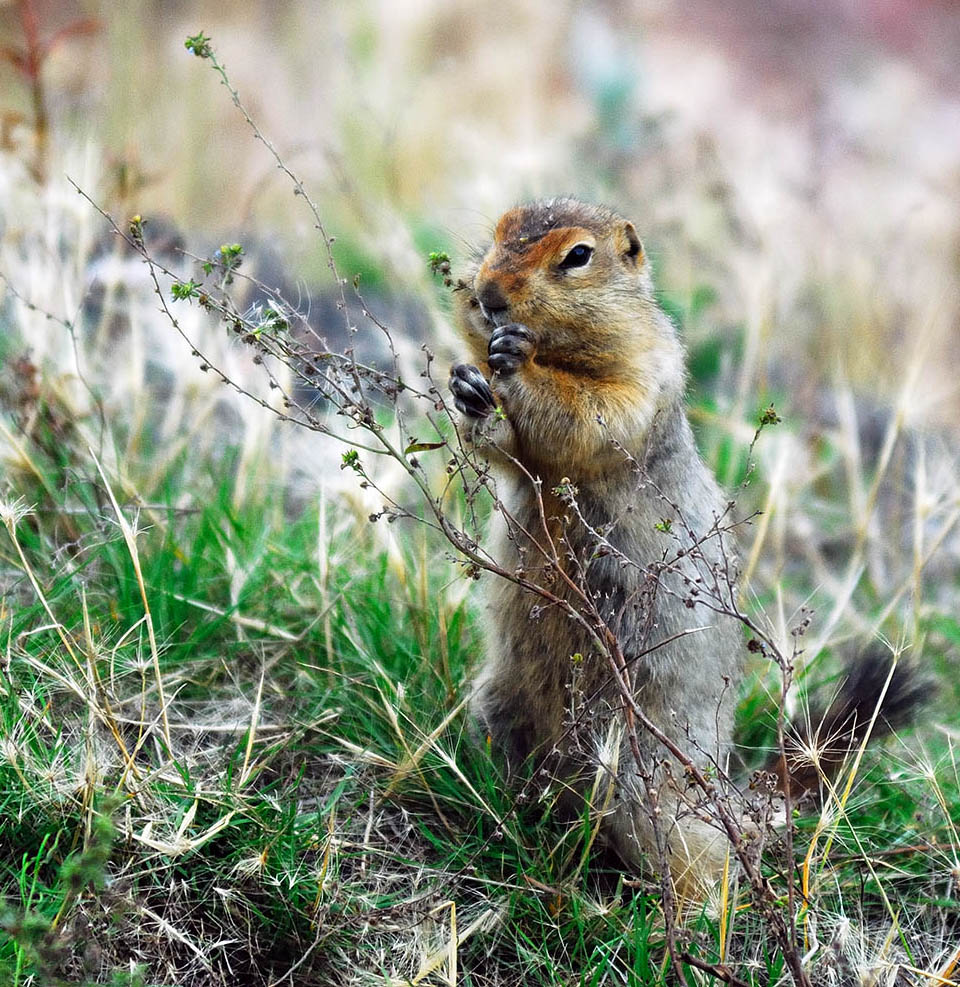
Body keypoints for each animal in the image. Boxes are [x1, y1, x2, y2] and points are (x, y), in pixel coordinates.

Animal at [450, 197, 744, 900]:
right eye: (498, 231)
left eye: (577, 256)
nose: (488, 293)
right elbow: (512, 450)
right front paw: (469, 386)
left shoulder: (644, 365)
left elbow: (592, 410)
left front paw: (514, 359)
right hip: (499, 707)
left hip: (645, 775)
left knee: (698, 855)